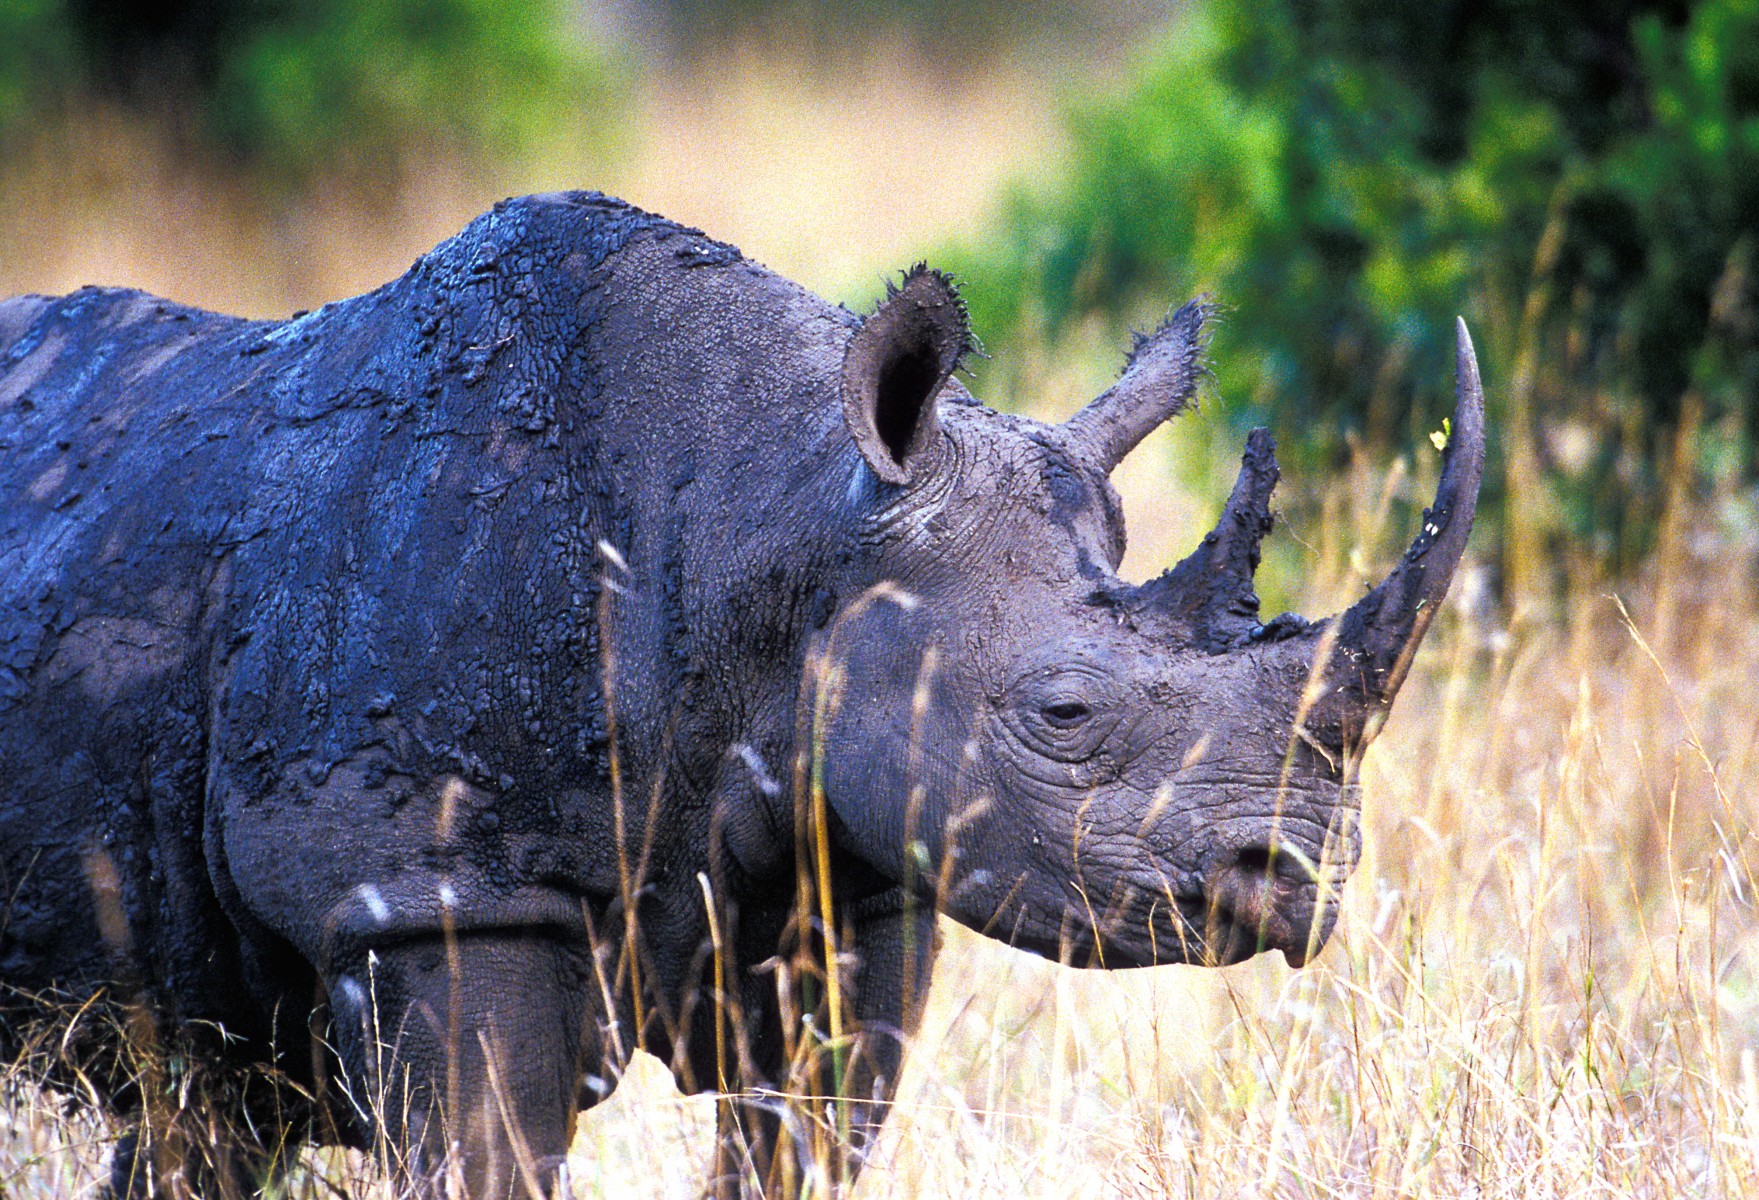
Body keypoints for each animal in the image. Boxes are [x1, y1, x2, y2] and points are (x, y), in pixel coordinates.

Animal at [0, 191, 1485, 1198]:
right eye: (1061, 716)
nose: (1298, 876)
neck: (774, 515)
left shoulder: (857, 884)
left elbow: (806, 1143)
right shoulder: (430, 887)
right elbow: (488, 1148)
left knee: (197, 1109)